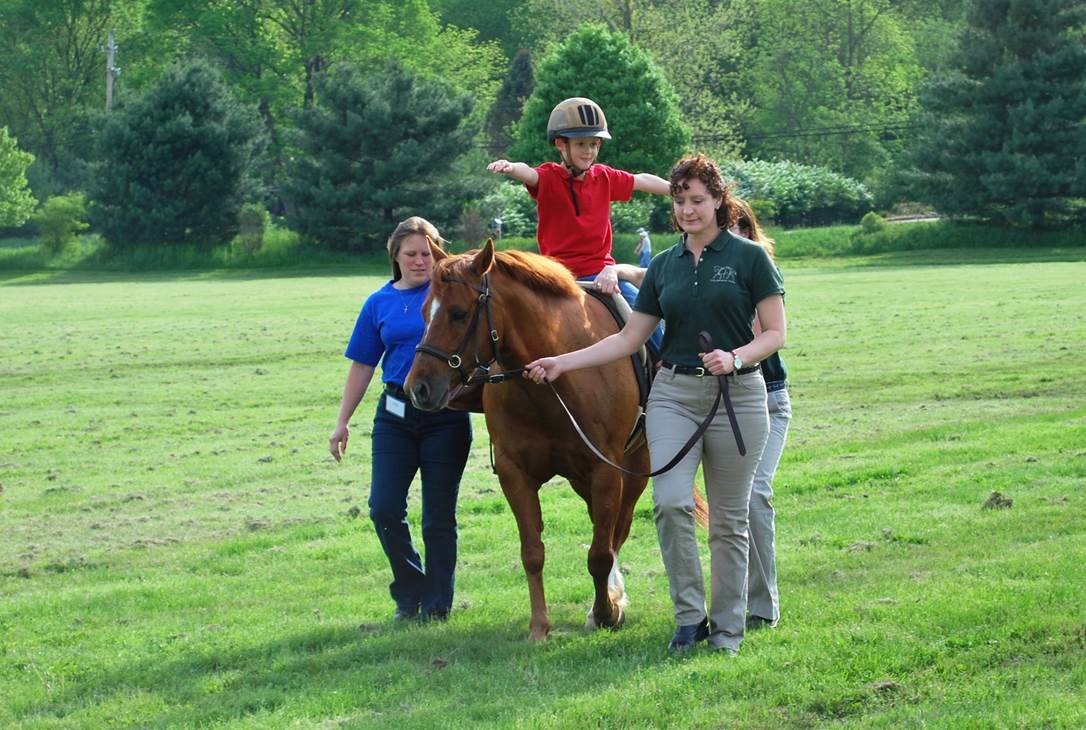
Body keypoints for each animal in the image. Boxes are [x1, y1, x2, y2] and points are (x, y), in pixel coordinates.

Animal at [406, 238, 642, 638]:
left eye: (458, 313)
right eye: (423, 311)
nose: (418, 388)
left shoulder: (606, 471)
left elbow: (600, 553)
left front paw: (606, 611)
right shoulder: (514, 473)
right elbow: (532, 552)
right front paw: (540, 627)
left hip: (635, 469)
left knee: (616, 532)